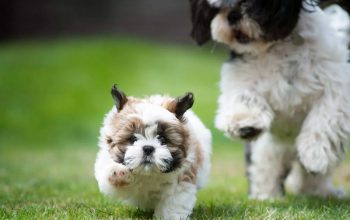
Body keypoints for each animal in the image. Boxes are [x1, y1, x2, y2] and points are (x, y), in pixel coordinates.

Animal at [93, 85, 212, 218]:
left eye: (162, 139)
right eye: (133, 138)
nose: (148, 148)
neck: (148, 174)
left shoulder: (182, 180)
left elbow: (174, 202)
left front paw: (169, 217)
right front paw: (118, 172)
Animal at [190, 0, 350, 199]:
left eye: (252, 4)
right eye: (216, 9)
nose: (233, 15)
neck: (277, 48)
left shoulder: (336, 83)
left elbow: (326, 118)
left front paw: (315, 154)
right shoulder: (240, 75)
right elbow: (243, 96)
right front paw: (244, 123)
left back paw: (322, 192)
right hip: (268, 148)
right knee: (265, 167)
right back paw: (267, 196)